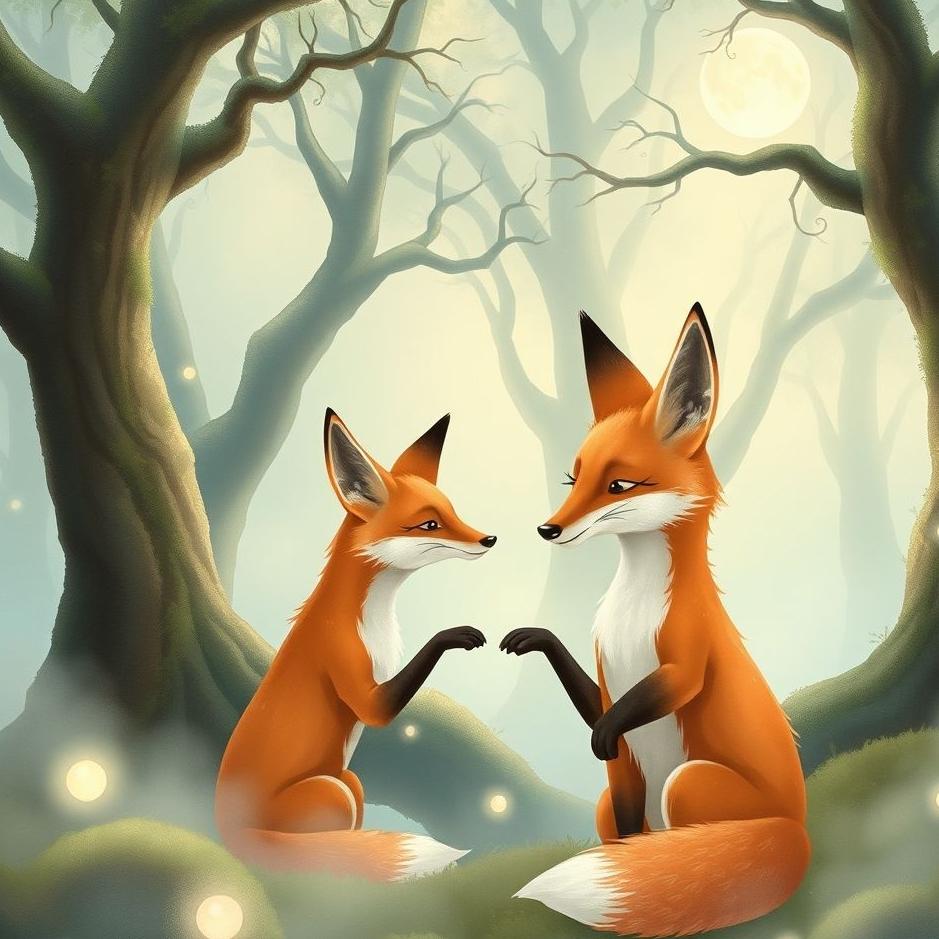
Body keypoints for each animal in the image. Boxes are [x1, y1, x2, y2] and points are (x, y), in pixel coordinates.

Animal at [216, 408, 496, 881]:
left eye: (452, 511)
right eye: (430, 524)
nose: (488, 539)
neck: (372, 619)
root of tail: (227, 832)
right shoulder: (360, 684)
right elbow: (383, 702)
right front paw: (455, 635)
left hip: (351, 783)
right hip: (334, 791)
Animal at [501, 306, 809, 936]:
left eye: (618, 485)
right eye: (574, 479)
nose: (547, 528)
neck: (633, 608)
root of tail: (800, 832)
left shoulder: (686, 655)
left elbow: (667, 689)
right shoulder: (618, 751)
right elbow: (602, 719)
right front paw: (539, 639)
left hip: (688, 785)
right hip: (620, 801)